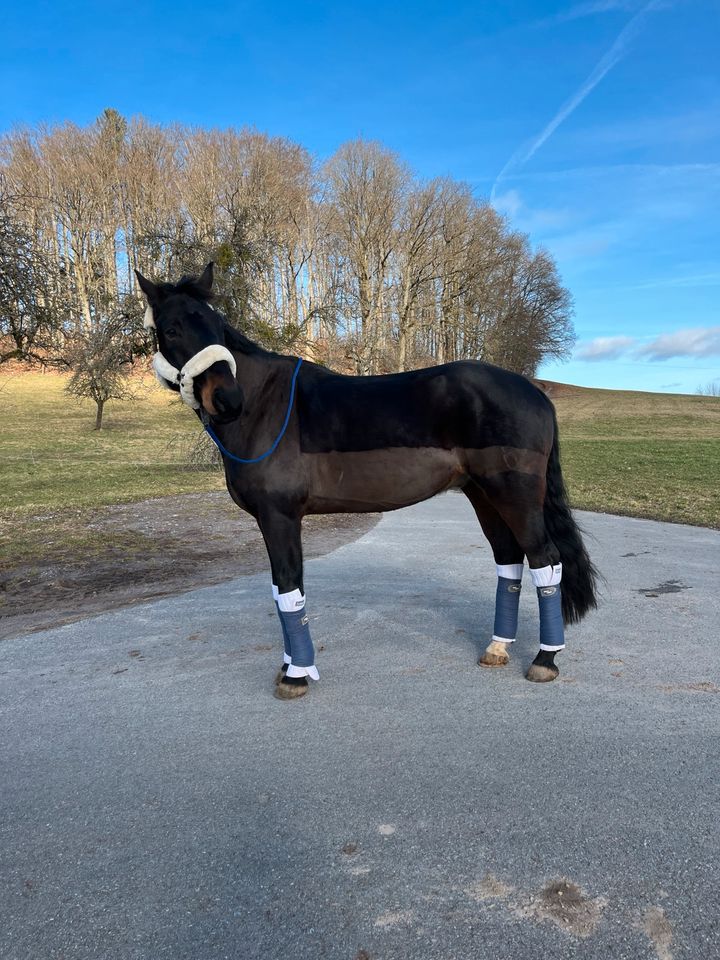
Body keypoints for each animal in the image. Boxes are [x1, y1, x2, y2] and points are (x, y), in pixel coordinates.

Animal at [136, 266, 596, 700]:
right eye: (172, 328)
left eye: (215, 325)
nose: (228, 400)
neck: (265, 406)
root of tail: (534, 393)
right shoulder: (272, 520)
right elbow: (282, 590)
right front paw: (288, 666)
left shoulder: (279, 516)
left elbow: (289, 589)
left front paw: (296, 675)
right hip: (483, 496)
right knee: (509, 561)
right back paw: (498, 648)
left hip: (515, 495)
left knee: (545, 561)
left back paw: (545, 660)